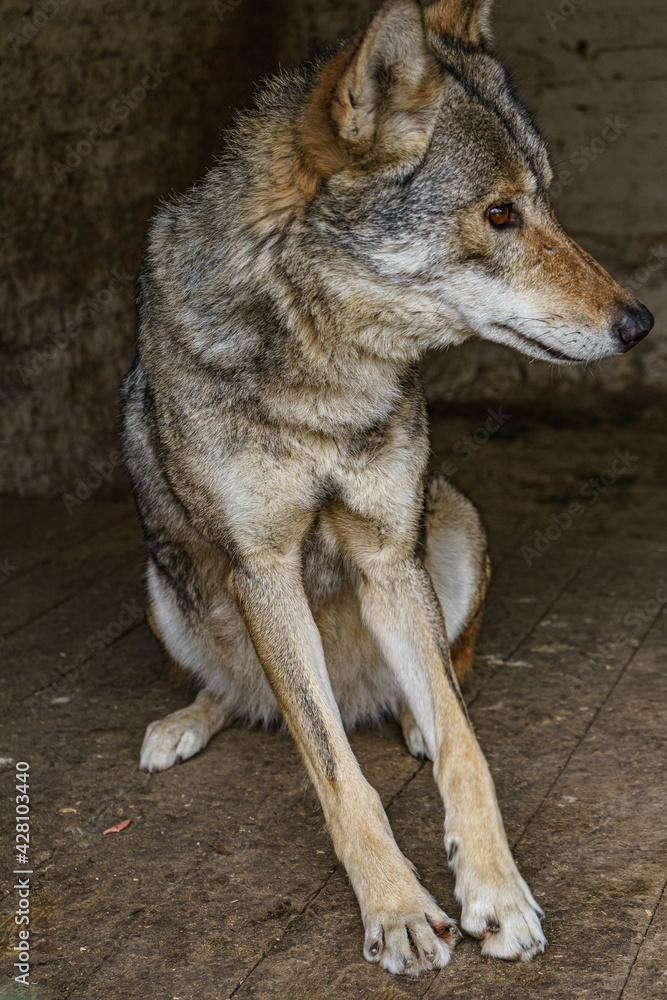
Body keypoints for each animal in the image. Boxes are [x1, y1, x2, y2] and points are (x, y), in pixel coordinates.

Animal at [119, 0, 654, 977]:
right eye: (499, 213)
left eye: (546, 200)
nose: (638, 323)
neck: (329, 369)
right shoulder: (263, 568)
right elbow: (336, 770)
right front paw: (401, 911)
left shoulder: (384, 553)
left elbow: (466, 749)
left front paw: (494, 893)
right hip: (167, 583)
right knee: (253, 696)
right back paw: (185, 722)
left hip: (449, 528)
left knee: (441, 678)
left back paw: (407, 716)